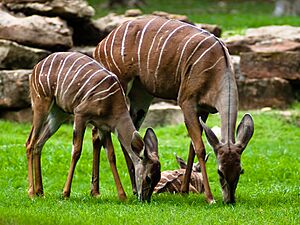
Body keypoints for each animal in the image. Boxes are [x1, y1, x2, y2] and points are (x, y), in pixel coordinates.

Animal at [25, 51, 162, 201]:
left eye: (158, 178)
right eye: (148, 178)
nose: (145, 199)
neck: (113, 104)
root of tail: (35, 68)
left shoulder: (104, 127)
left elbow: (111, 155)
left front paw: (122, 196)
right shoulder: (80, 114)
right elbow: (76, 151)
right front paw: (66, 193)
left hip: (58, 114)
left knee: (39, 143)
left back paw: (40, 192)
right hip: (41, 102)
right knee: (30, 143)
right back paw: (31, 193)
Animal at [94, 16, 253, 204]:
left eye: (241, 170)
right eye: (220, 171)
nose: (229, 200)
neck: (218, 67)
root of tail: (100, 45)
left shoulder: (204, 110)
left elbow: (193, 146)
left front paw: (184, 191)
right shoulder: (187, 102)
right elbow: (200, 148)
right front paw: (209, 197)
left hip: (141, 97)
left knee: (129, 137)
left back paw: (132, 189)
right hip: (119, 87)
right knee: (98, 134)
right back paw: (98, 192)